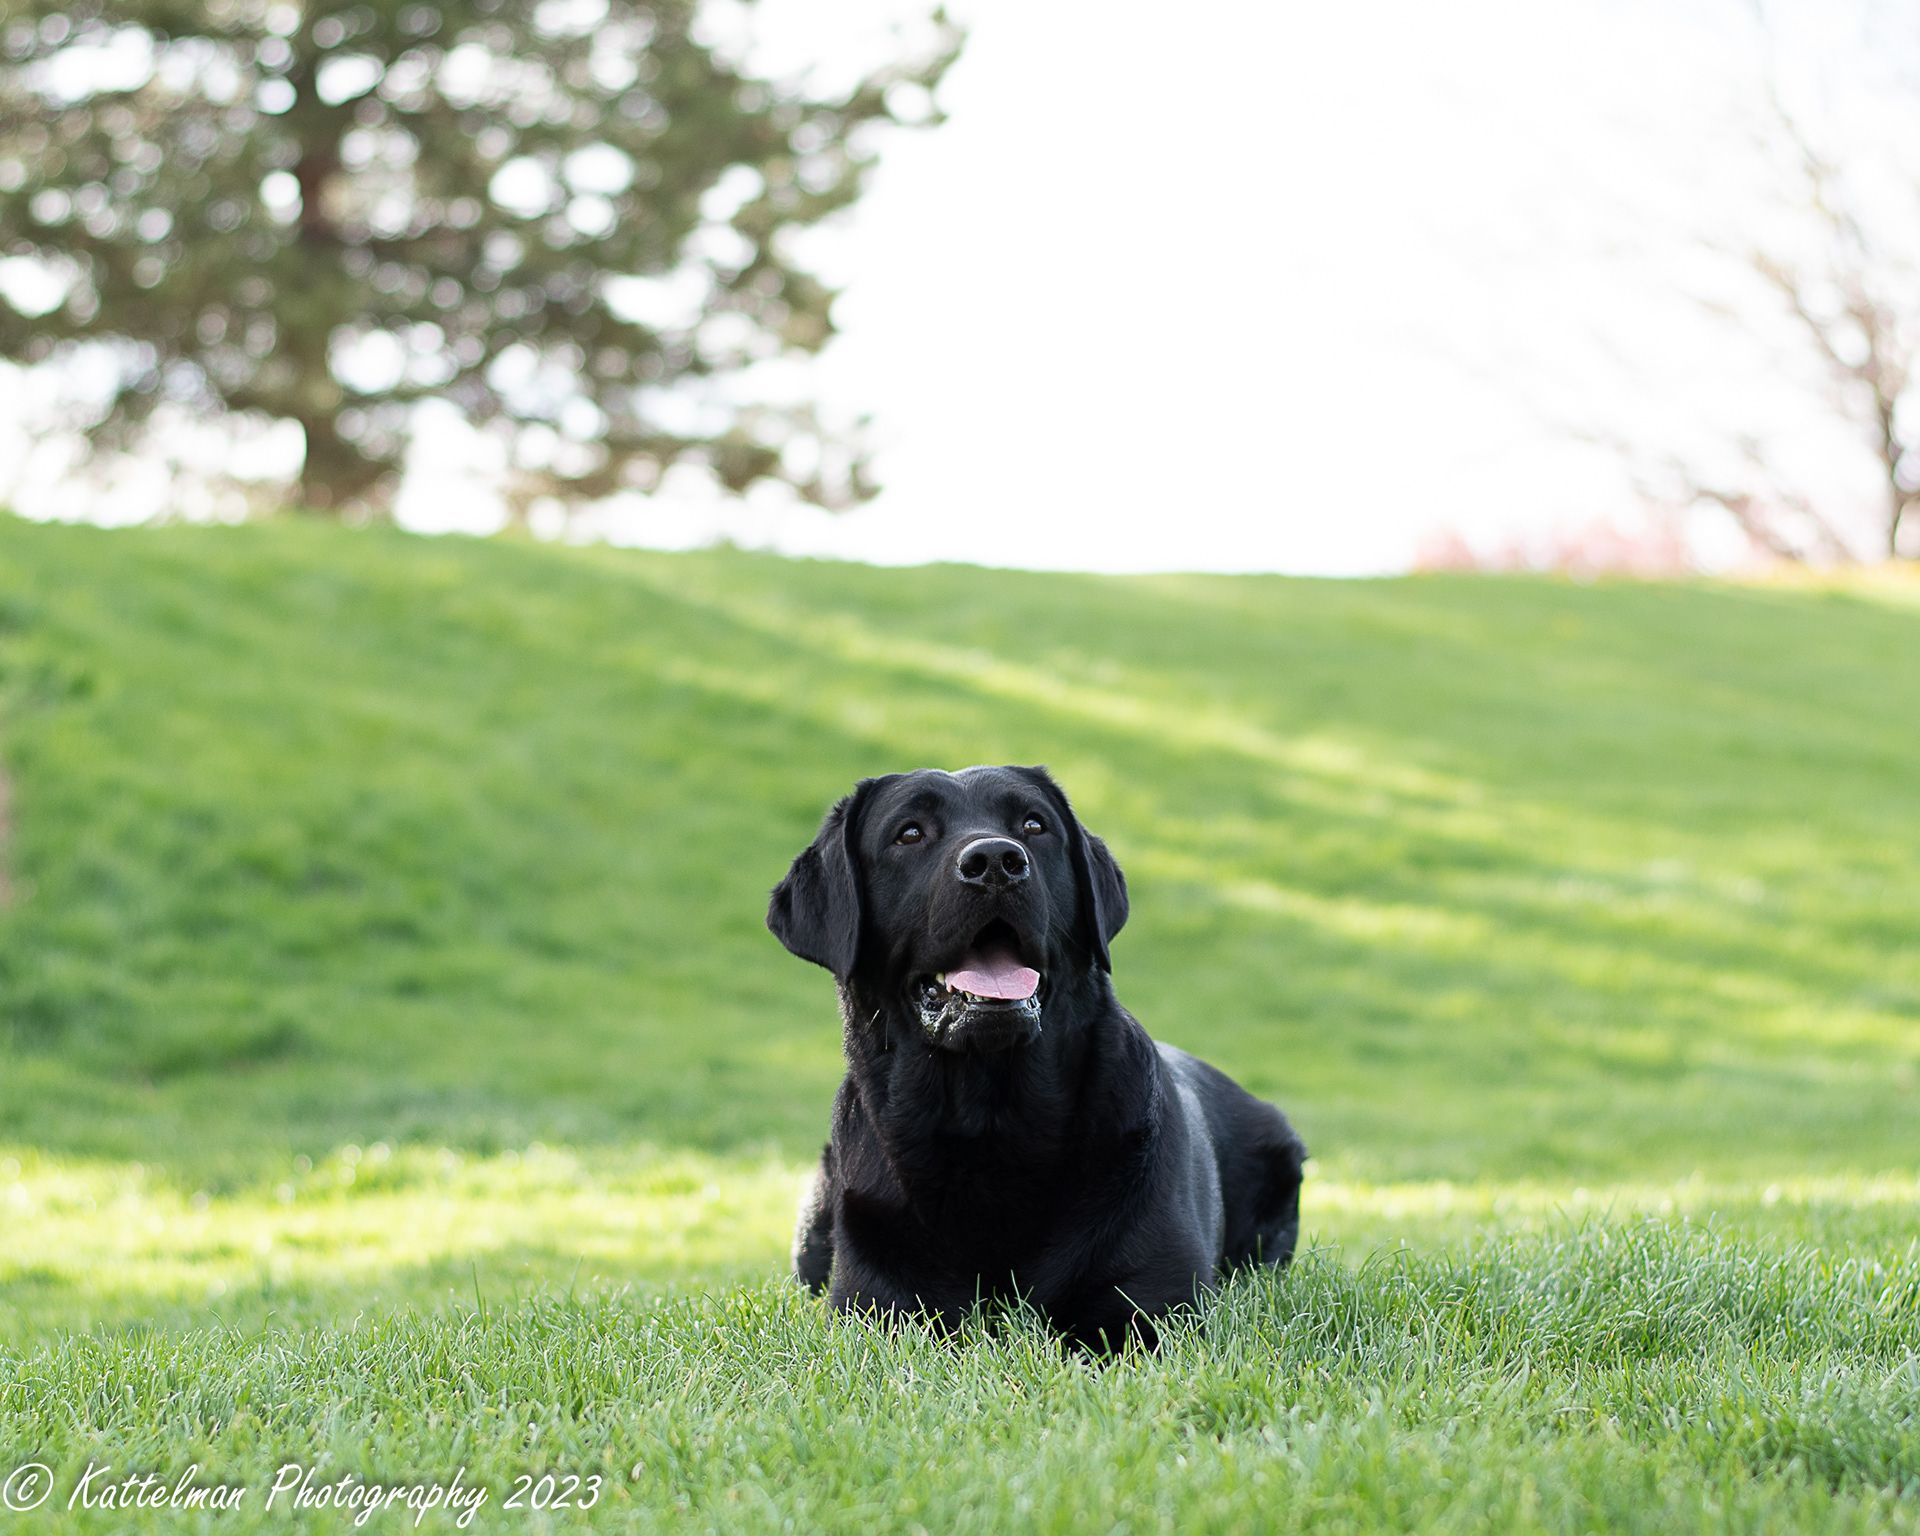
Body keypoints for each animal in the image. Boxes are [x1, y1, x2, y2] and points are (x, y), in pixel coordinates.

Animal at [768, 764, 1306, 1349]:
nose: (995, 862)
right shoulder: (878, 1310)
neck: (992, 1123)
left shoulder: (1153, 1312)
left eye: (1033, 825)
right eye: (908, 834)